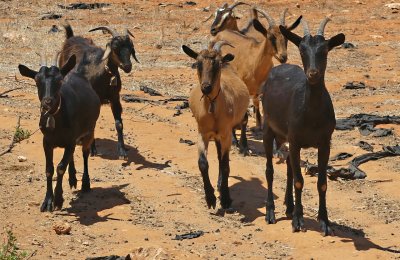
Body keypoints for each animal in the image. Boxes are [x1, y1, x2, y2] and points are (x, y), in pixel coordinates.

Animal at [18, 52, 101, 211]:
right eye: (37, 79)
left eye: (60, 79)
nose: (47, 102)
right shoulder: (47, 142)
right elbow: (49, 168)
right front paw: (48, 201)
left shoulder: (70, 141)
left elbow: (61, 167)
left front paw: (57, 199)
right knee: (72, 157)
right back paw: (73, 178)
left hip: (89, 131)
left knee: (85, 153)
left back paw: (85, 183)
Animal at [58, 24, 140, 159]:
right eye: (115, 47)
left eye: (131, 47)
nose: (127, 66)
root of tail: (70, 38)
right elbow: (93, 123)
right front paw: (92, 149)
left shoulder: (115, 98)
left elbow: (119, 124)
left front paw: (122, 151)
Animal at [182, 41, 250, 210]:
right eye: (198, 63)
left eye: (217, 64)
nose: (206, 87)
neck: (213, 110)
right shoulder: (203, 133)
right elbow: (203, 163)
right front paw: (210, 198)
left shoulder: (225, 134)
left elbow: (225, 164)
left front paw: (225, 199)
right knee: (219, 156)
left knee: (244, 121)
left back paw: (244, 148)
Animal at [262, 16, 344, 236]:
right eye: (301, 49)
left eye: (324, 50)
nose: (312, 74)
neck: (312, 115)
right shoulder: (296, 140)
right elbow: (299, 180)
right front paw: (298, 221)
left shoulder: (325, 143)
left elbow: (322, 183)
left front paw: (324, 222)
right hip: (268, 129)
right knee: (269, 170)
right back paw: (271, 212)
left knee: (290, 168)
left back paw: (289, 206)